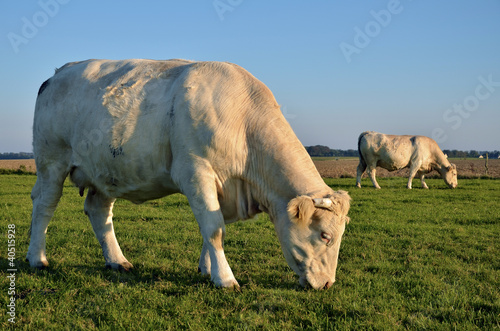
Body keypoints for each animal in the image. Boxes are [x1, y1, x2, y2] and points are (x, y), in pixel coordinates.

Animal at [28, 59, 352, 290]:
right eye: (325, 235)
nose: (327, 284)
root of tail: (57, 74)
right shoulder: (197, 172)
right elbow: (214, 229)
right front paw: (225, 279)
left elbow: (214, 227)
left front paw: (206, 268)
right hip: (51, 161)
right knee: (44, 206)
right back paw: (37, 259)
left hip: (105, 170)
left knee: (99, 212)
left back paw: (117, 261)